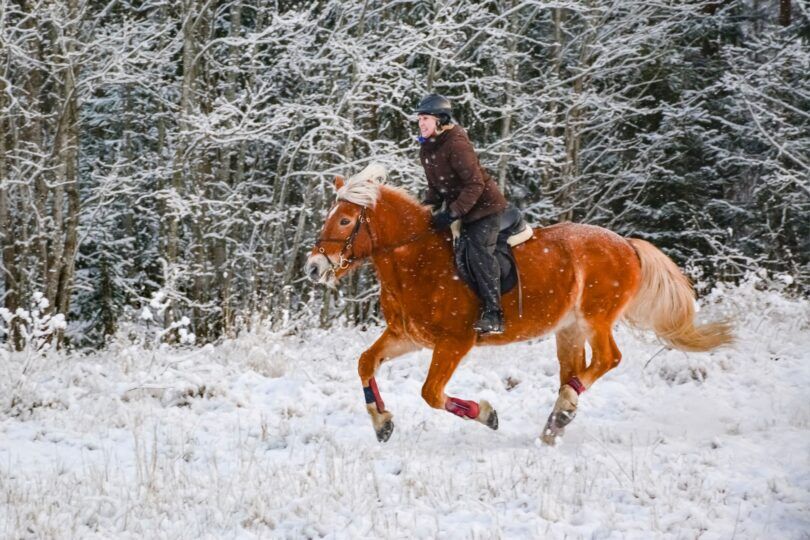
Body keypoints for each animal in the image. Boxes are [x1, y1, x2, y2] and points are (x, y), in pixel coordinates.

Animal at [304, 165, 732, 442]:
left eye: (345, 221)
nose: (313, 267)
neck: (416, 258)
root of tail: (627, 244)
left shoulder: (454, 342)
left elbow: (431, 392)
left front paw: (487, 414)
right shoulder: (407, 336)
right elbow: (365, 362)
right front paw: (382, 424)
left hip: (596, 318)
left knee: (608, 358)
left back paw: (563, 408)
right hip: (569, 329)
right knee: (574, 370)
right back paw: (557, 421)